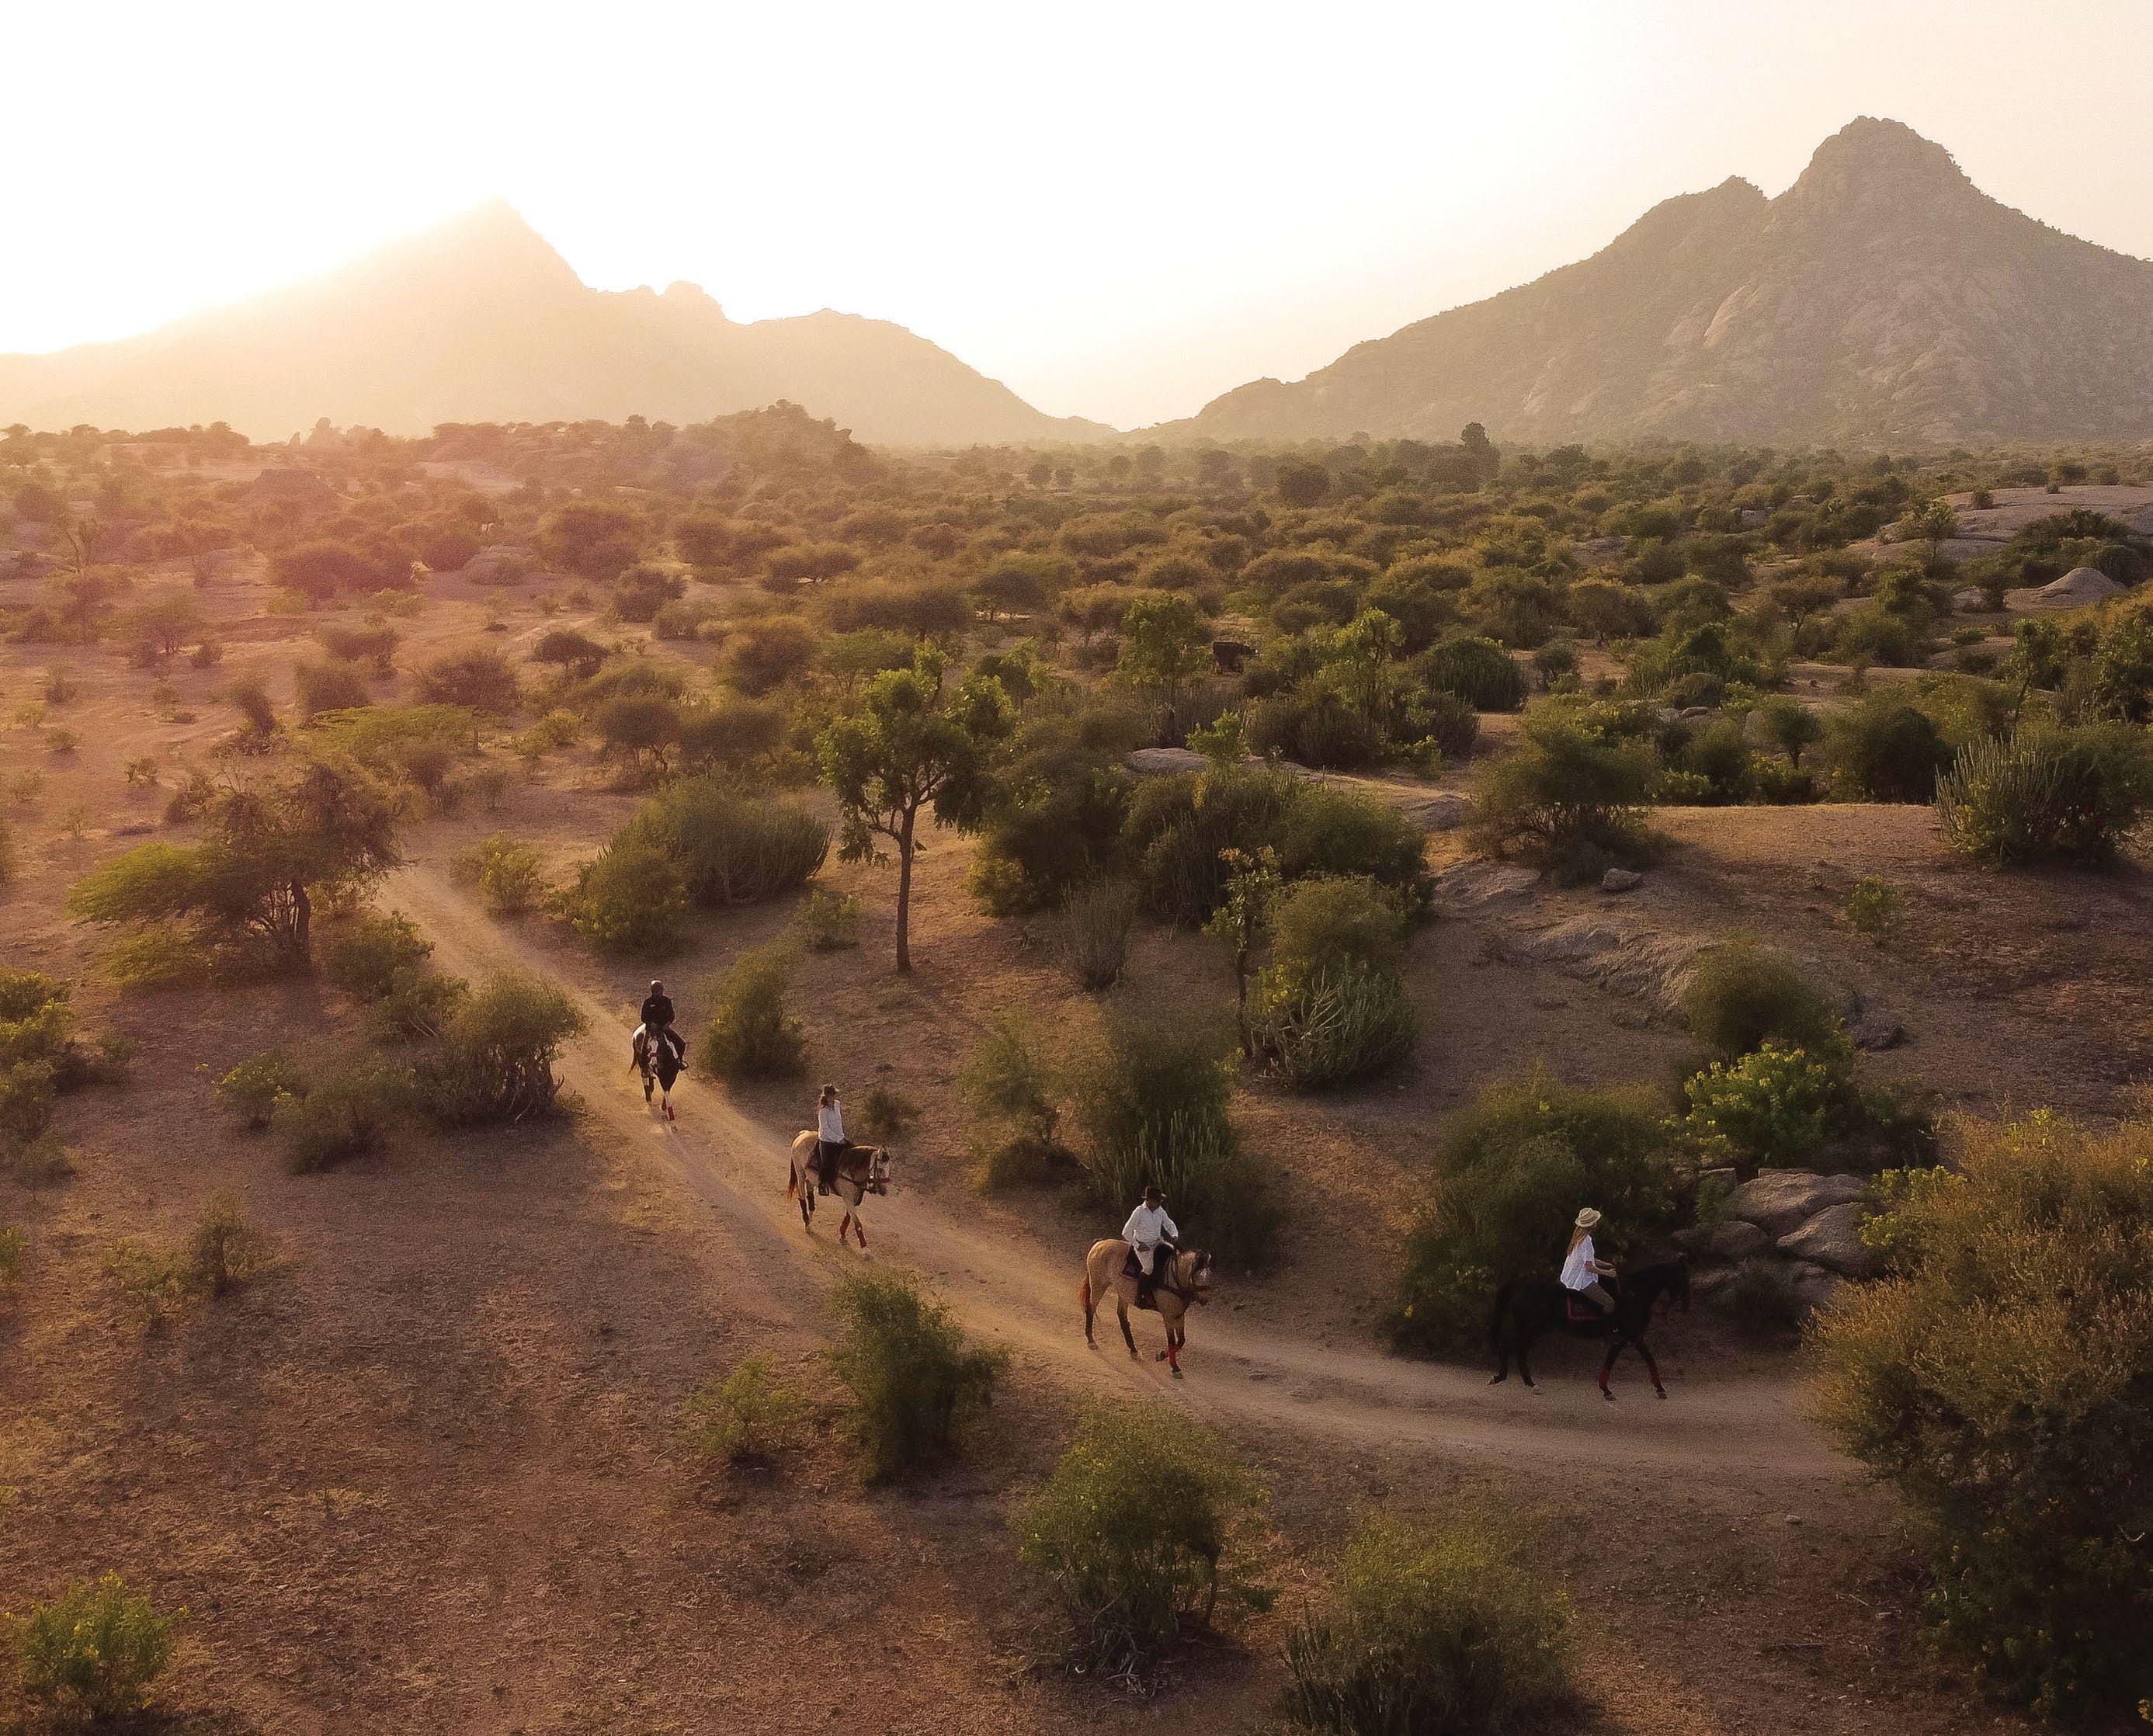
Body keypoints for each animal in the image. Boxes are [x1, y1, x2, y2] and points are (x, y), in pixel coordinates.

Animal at [785, 1130, 892, 1249]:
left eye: (889, 1169)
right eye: (881, 1169)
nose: (884, 1191)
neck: (852, 1167)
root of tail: (802, 1134)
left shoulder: (853, 1199)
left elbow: (848, 1217)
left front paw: (843, 1236)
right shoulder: (848, 1198)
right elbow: (858, 1224)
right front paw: (865, 1248)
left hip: (811, 1178)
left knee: (810, 1196)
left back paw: (810, 1221)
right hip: (800, 1173)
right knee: (802, 1197)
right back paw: (807, 1222)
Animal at [1080, 1239, 1216, 1377]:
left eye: (1209, 1275)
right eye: (1196, 1275)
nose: (1204, 1300)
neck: (1174, 1279)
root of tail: (1100, 1243)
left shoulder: (1179, 1314)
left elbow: (1181, 1341)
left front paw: (1161, 1355)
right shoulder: (1168, 1316)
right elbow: (1172, 1342)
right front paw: (1174, 1367)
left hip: (1123, 1293)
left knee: (1122, 1317)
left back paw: (1133, 1350)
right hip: (1098, 1284)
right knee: (1091, 1309)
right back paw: (1091, 1341)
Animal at [1488, 1258, 1691, 1401]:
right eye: (1682, 1278)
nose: (1685, 1306)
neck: (1634, 1296)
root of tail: (1520, 1286)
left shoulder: (1635, 1337)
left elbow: (1650, 1360)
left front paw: (1660, 1389)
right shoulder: (1623, 1338)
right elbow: (1610, 1362)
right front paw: (1607, 1391)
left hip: (1532, 1329)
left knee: (1517, 1349)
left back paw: (1524, 1382)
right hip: (1530, 1328)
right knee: (1513, 1347)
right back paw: (1513, 1380)